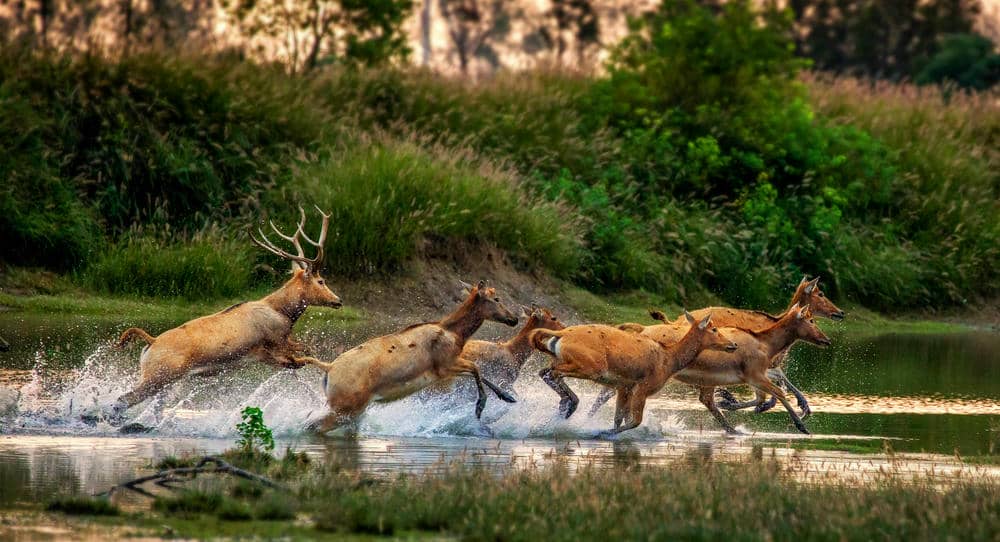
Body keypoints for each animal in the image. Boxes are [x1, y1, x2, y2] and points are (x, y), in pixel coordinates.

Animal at [109, 208, 342, 424]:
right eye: (321, 281)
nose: (338, 300)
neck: (282, 314)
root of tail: (151, 341)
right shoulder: (276, 343)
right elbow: (305, 356)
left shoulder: (272, 354)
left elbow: (300, 360)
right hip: (158, 376)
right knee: (123, 399)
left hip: (164, 381)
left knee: (154, 406)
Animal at [294, 282, 516, 436]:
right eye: (497, 298)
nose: (513, 318)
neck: (457, 335)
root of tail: (328, 368)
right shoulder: (444, 366)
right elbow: (476, 368)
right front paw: (481, 406)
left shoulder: (448, 368)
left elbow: (479, 372)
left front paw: (507, 396)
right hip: (345, 407)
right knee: (315, 426)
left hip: (351, 410)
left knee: (313, 421)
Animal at [532, 312, 736, 436]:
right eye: (714, 329)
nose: (733, 344)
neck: (669, 360)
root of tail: (561, 335)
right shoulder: (643, 387)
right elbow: (635, 420)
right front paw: (603, 433)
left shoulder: (624, 387)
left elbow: (619, 417)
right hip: (591, 366)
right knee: (553, 374)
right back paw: (569, 406)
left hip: (562, 360)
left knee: (544, 371)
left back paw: (565, 408)